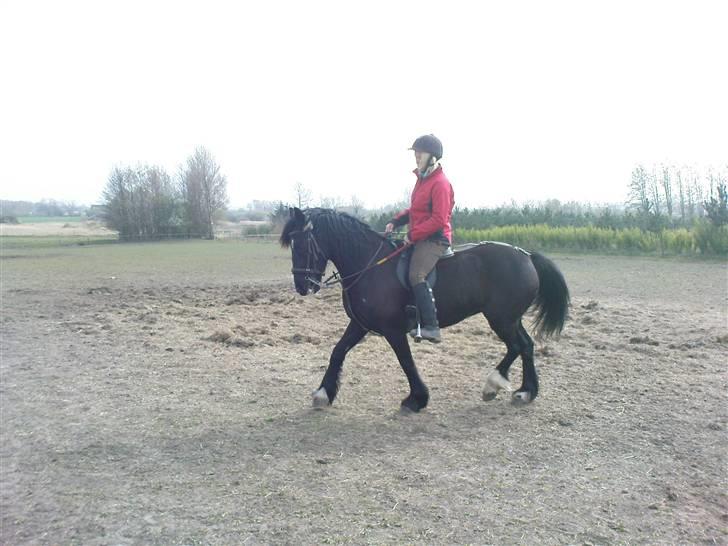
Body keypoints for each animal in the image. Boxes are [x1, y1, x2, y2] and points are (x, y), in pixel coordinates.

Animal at [280, 207, 570, 412]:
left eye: (302, 244)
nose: (302, 286)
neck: (369, 265)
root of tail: (526, 256)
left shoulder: (393, 329)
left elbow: (406, 361)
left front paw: (417, 398)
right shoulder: (360, 324)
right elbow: (337, 352)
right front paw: (323, 393)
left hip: (501, 319)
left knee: (517, 346)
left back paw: (497, 385)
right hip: (509, 319)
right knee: (526, 346)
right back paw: (524, 391)